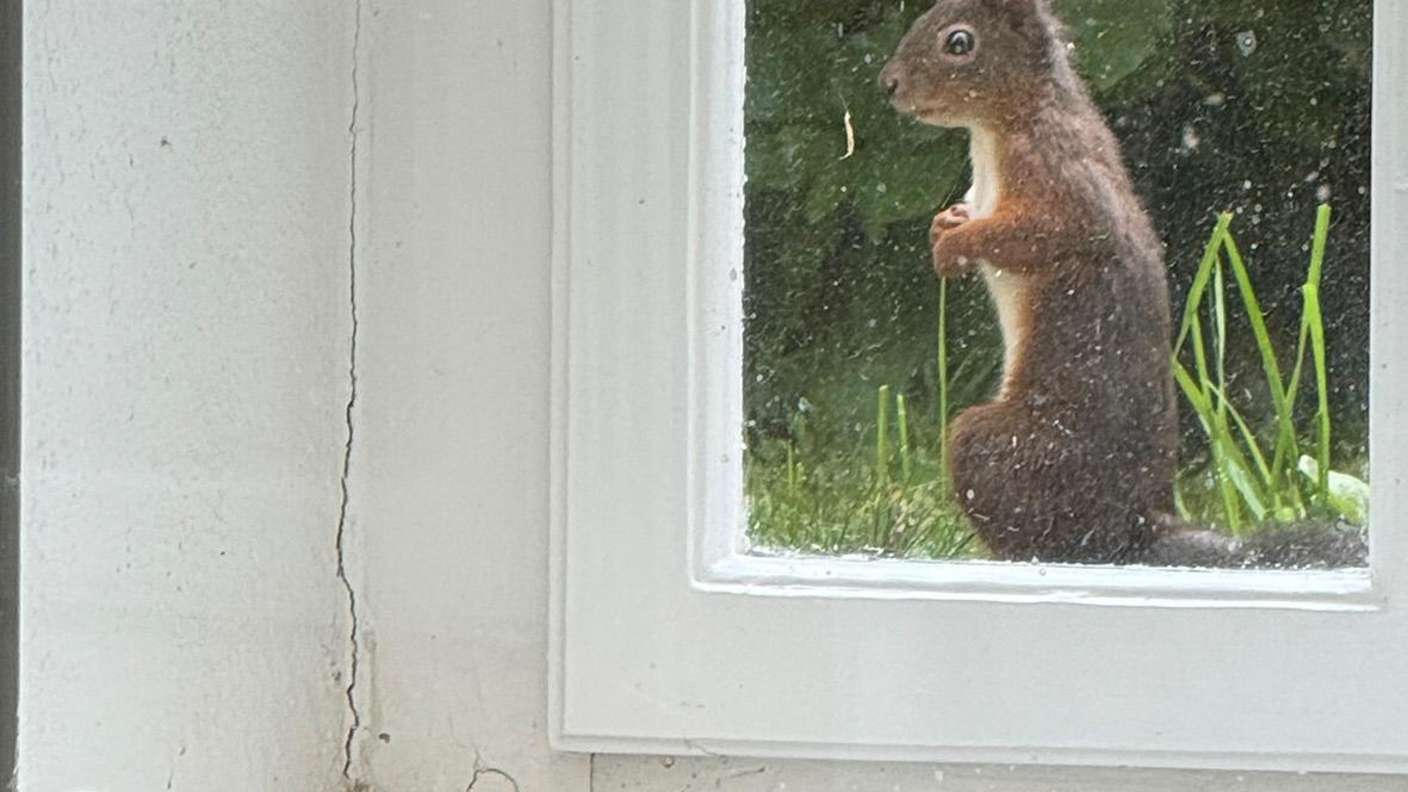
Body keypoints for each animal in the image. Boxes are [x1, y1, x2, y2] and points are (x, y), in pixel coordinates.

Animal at [877, 0, 1365, 568]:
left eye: (959, 43)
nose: (889, 84)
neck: (1002, 124)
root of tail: (1135, 528)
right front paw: (945, 226)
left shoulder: (1060, 175)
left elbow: (1043, 233)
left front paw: (956, 246)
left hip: (1008, 449)